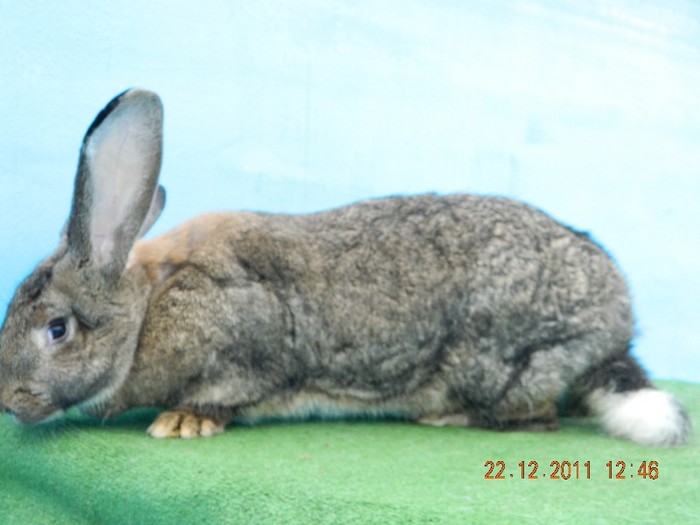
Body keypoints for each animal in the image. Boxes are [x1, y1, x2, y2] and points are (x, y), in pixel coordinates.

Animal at [0, 89, 688, 442]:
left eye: (57, 330)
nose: (6, 402)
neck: (149, 305)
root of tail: (617, 323)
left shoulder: (246, 340)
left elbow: (233, 392)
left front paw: (185, 422)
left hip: (498, 363)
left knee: (533, 417)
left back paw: (443, 415)